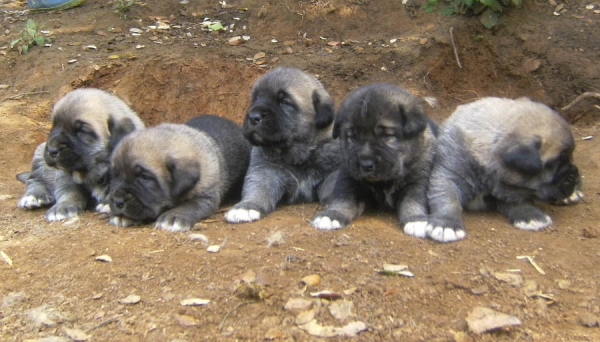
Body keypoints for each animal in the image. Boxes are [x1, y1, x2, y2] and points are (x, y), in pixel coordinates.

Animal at [17, 88, 144, 222]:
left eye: (82, 131)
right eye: (54, 126)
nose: (52, 150)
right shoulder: (65, 174)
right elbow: (70, 190)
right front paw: (63, 205)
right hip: (39, 154)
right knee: (34, 179)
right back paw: (34, 196)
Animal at [109, 115, 251, 232]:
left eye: (144, 177)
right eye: (116, 175)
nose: (117, 200)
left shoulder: (205, 197)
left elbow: (189, 205)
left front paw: (173, 217)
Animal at [224, 66, 342, 224]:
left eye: (284, 102)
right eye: (256, 98)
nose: (254, 117)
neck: (297, 155)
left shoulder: (331, 173)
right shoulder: (265, 172)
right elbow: (257, 191)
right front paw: (246, 207)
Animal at [310, 84, 436, 236]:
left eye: (386, 136)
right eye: (352, 137)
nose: (366, 164)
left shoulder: (418, 179)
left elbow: (413, 200)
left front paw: (416, 220)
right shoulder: (349, 177)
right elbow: (344, 198)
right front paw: (332, 215)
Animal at [426, 97, 584, 243]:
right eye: (557, 162)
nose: (574, 175)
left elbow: (517, 200)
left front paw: (529, 214)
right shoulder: (448, 175)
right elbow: (448, 198)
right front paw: (447, 224)